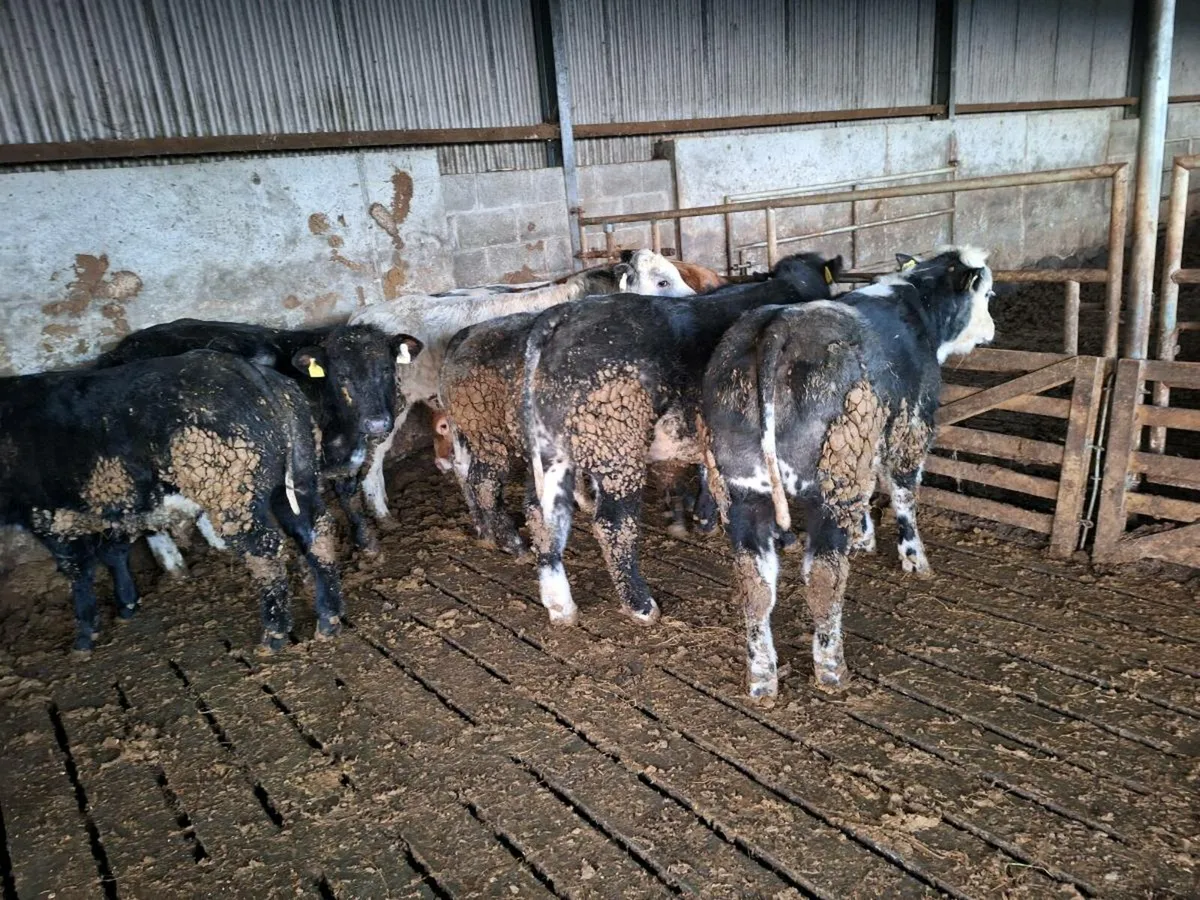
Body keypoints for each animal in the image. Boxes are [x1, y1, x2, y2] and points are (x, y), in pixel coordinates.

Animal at [0, 351, 347, 653]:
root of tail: (246, 370)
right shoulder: (115, 508)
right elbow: (114, 553)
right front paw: (127, 605)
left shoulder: (50, 515)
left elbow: (79, 571)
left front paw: (84, 638)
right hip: (298, 477)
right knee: (316, 530)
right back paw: (328, 620)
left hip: (232, 494)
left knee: (265, 550)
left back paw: (273, 636)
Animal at [97, 319, 422, 563]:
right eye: (341, 375)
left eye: (387, 369)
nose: (377, 423)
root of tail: (118, 351)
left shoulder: (348, 459)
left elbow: (349, 500)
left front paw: (369, 546)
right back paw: (174, 564)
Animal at [348, 253, 694, 522]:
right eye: (662, 281)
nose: (695, 302)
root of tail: (361, 318)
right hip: (390, 407)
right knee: (373, 460)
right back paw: (381, 513)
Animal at [519, 252, 842, 627]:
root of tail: (560, 317)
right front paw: (784, 535)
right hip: (616, 450)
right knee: (613, 525)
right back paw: (640, 605)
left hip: (552, 449)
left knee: (542, 514)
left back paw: (560, 605)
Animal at [701, 247, 995, 698]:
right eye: (989, 294)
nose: (992, 330)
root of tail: (777, 325)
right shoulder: (912, 427)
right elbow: (903, 493)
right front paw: (914, 559)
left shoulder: (866, 447)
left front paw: (864, 536)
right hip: (831, 486)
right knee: (824, 578)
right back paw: (832, 669)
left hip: (741, 491)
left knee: (756, 583)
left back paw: (763, 678)